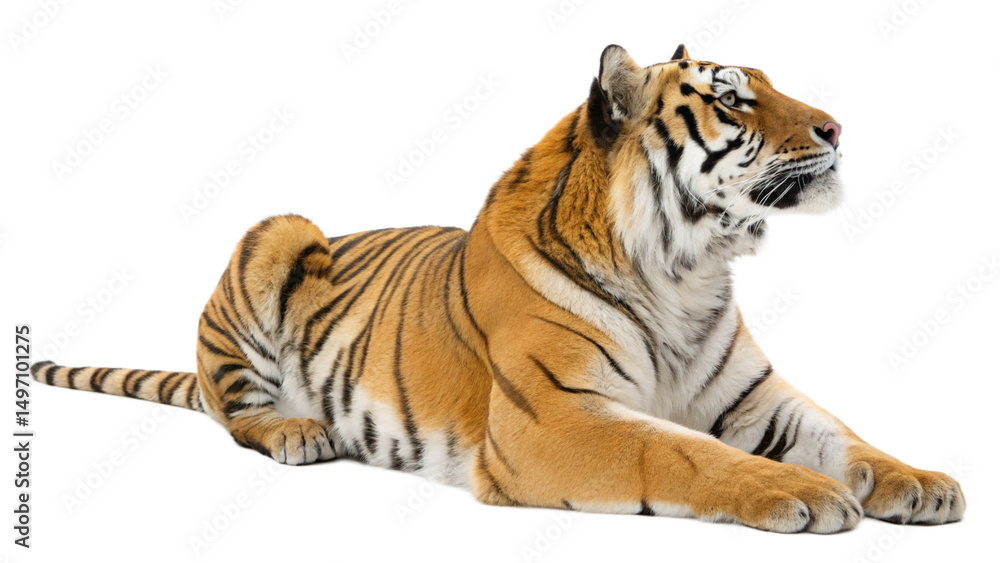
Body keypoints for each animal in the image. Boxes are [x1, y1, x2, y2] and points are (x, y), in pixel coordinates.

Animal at [32, 44, 965, 533]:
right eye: (734, 101)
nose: (837, 128)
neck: (687, 270)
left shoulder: (757, 397)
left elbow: (848, 437)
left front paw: (922, 480)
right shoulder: (552, 418)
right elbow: (684, 450)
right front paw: (800, 491)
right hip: (278, 229)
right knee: (235, 409)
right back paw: (298, 429)